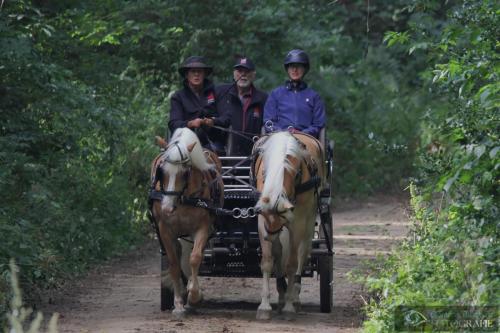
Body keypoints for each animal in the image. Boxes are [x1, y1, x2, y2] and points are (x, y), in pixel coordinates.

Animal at [148, 127, 223, 316]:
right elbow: (174, 264)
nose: (167, 208)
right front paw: (178, 303)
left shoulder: (203, 227)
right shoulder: (165, 230)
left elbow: (195, 258)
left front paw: (194, 295)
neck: (183, 198)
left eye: (185, 172)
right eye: (161, 171)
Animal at [252, 130, 326, 320]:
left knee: (303, 253)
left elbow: (292, 264)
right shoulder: (262, 222)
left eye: (281, 216)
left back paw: (294, 297)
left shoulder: (297, 221)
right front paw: (264, 306)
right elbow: (267, 261)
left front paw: (289, 307)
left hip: (309, 220)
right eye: (266, 216)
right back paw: (281, 293)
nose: (269, 236)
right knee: (279, 252)